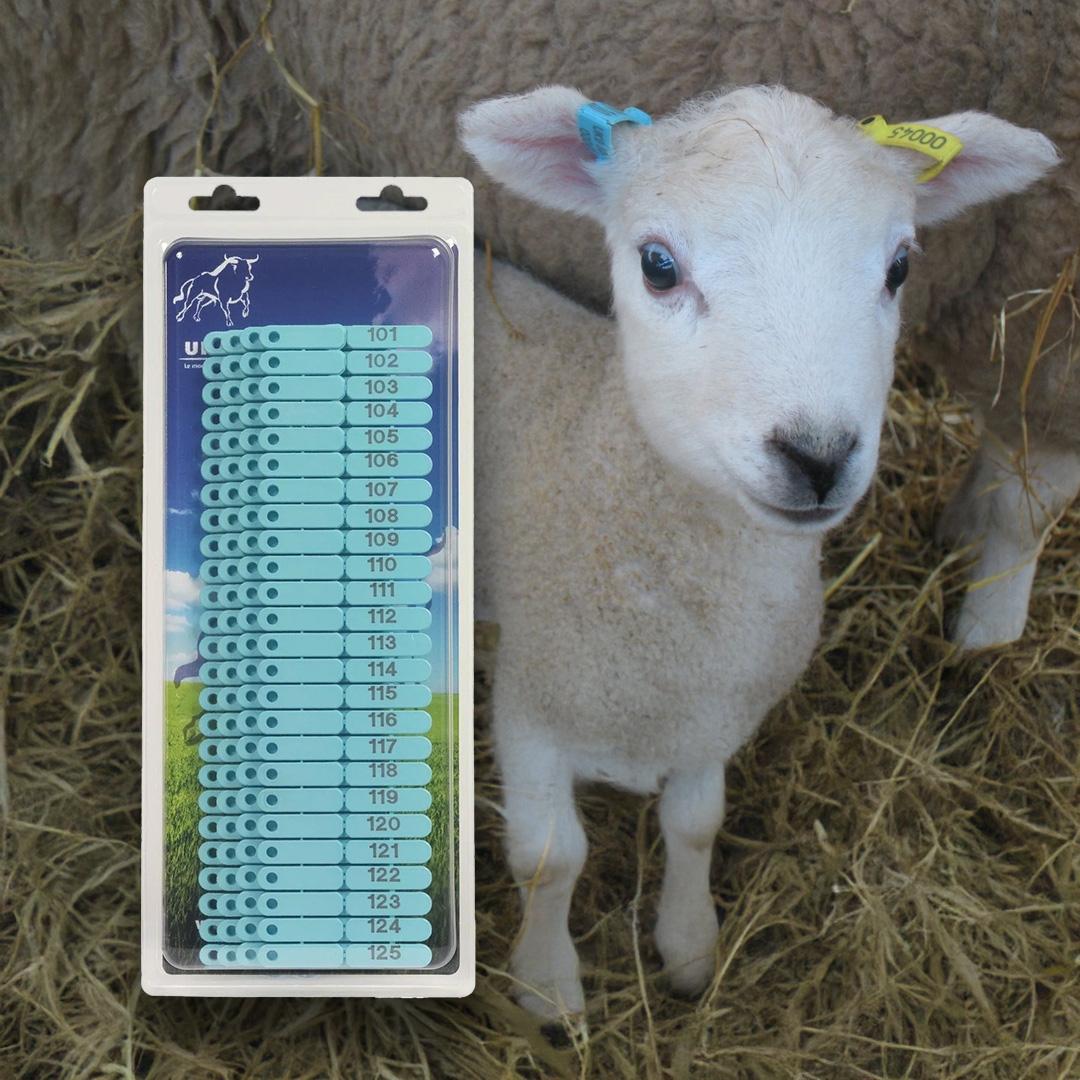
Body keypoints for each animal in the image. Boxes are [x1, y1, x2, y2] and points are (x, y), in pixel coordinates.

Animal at [460, 84, 1058, 1017]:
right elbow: (552, 861)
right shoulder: (531, 706)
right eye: (657, 265)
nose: (817, 454)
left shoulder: (712, 714)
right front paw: (550, 993)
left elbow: (695, 827)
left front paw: (690, 950)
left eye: (899, 267)